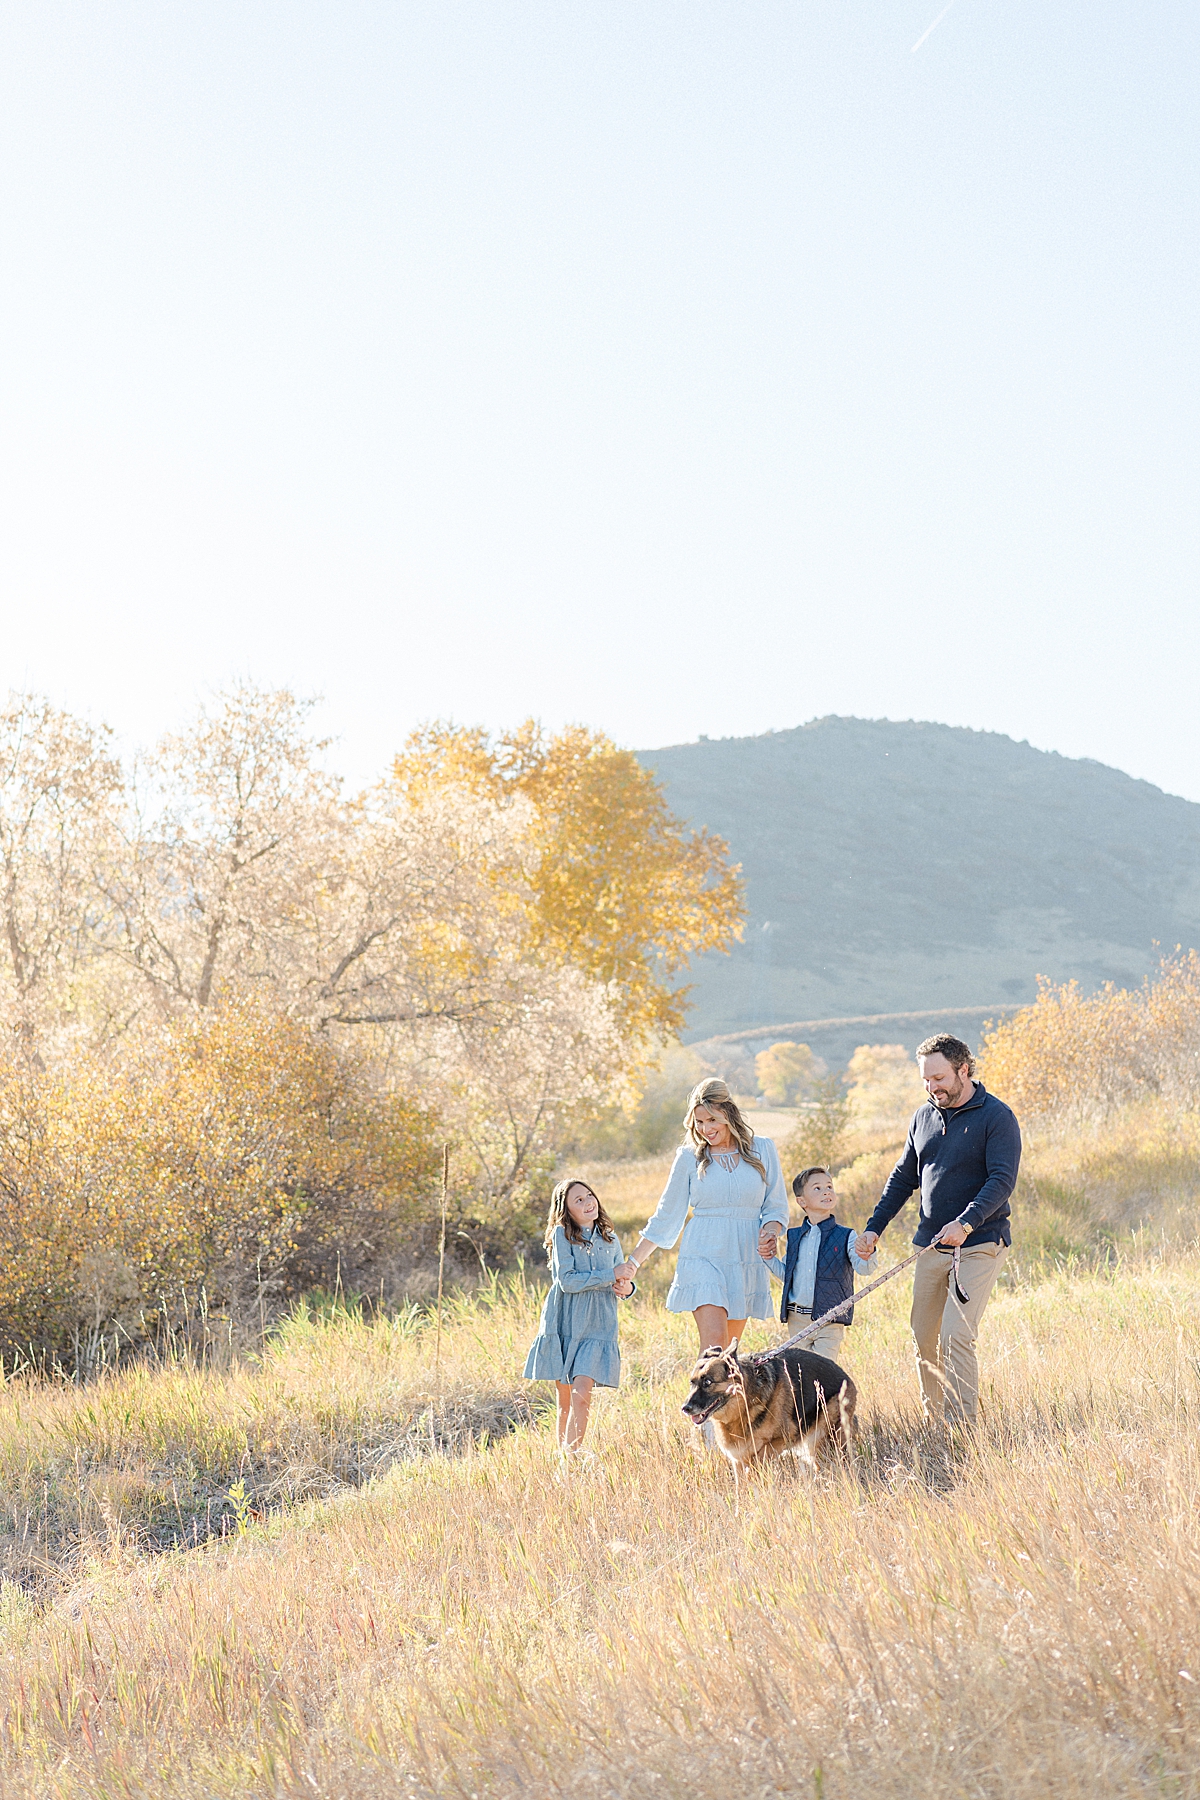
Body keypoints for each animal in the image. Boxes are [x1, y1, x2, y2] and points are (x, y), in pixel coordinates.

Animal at [680, 1346, 859, 1468]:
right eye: (692, 1382)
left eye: (708, 1382)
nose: (685, 1408)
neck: (745, 1403)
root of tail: (847, 1378)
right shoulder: (737, 1459)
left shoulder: (784, 1438)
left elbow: (759, 1458)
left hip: (821, 1439)